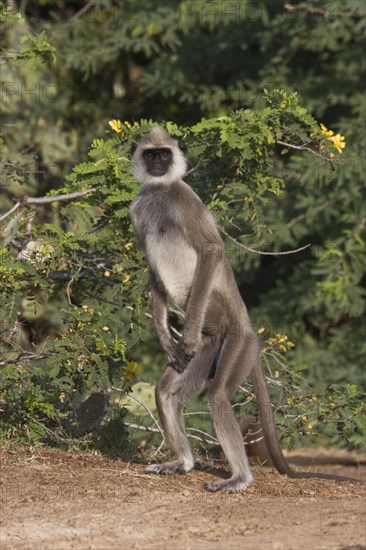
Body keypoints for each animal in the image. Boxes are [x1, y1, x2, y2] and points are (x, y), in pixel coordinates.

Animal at [130, 127, 362, 494]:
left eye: (164, 154)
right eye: (150, 154)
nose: (157, 164)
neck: (160, 192)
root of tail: (246, 326)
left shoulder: (185, 200)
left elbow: (211, 250)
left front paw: (183, 337)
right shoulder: (137, 210)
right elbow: (154, 274)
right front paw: (166, 342)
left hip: (239, 342)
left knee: (218, 397)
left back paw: (239, 478)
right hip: (211, 347)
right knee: (168, 391)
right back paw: (183, 462)